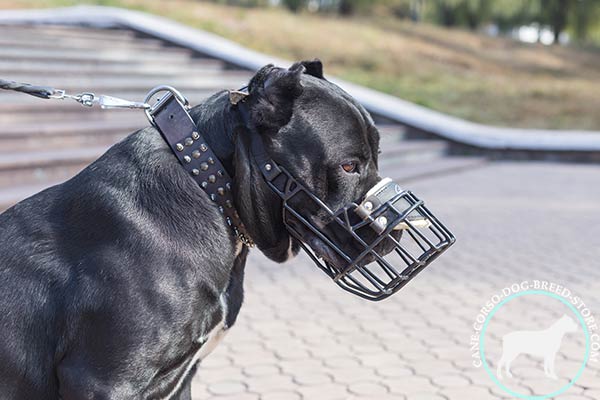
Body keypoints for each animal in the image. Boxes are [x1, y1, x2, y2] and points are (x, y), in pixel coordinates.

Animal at [1, 60, 380, 400]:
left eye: (377, 155)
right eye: (349, 166)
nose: (396, 232)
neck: (212, 186)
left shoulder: (183, 377)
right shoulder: (102, 382)